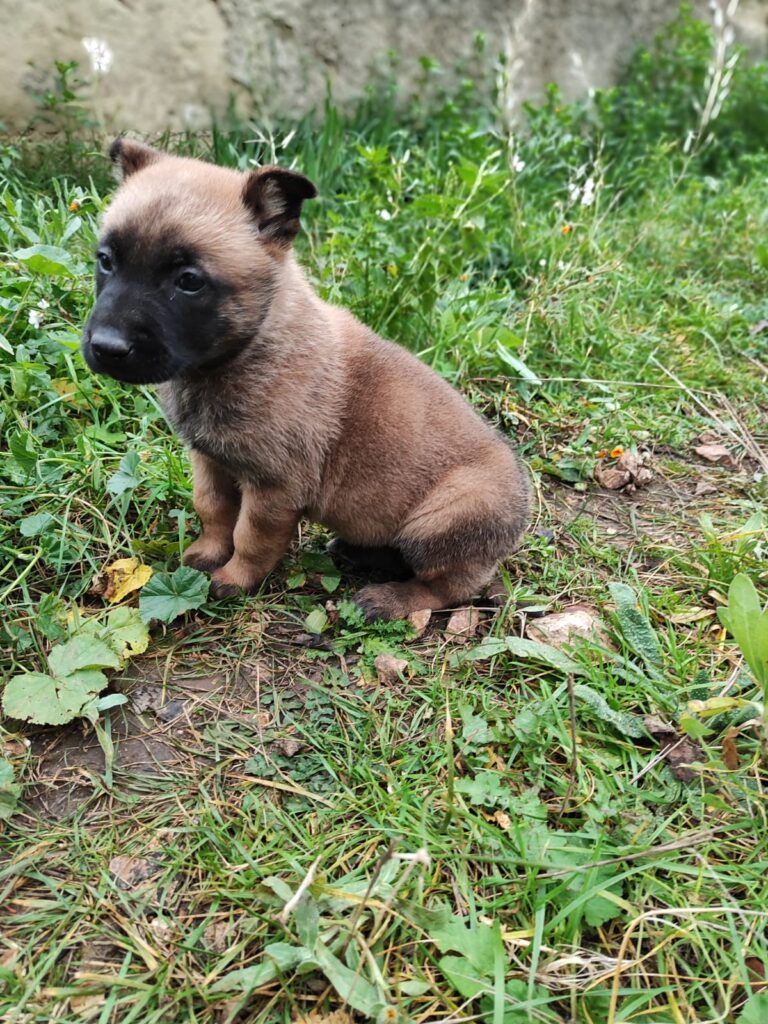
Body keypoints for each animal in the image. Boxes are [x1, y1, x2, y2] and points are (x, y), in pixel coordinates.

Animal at [83, 140, 528, 618]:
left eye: (189, 281)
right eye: (106, 261)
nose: (106, 347)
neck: (252, 348)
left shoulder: (274, 488)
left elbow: (250, 537)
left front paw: (234, 579)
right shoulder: (210, 462)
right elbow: (213, 510)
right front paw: (206, 554)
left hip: (442, 521)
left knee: (446, 587)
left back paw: (389, 599)